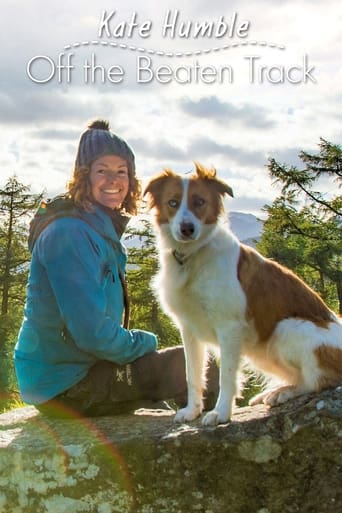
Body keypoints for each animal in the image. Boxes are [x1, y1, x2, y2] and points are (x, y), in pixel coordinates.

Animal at [144, 163, 342, 424]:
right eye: (173, 202)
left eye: (200, 201)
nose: (187, 229)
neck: (193, 256)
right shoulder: (189, 329)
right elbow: (192, 374)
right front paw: (192, 410)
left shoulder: (229, 327)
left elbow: (227, 375)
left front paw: (221, 413)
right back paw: (275, 391)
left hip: (287, 328)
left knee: (317, 381)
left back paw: (283, 393)